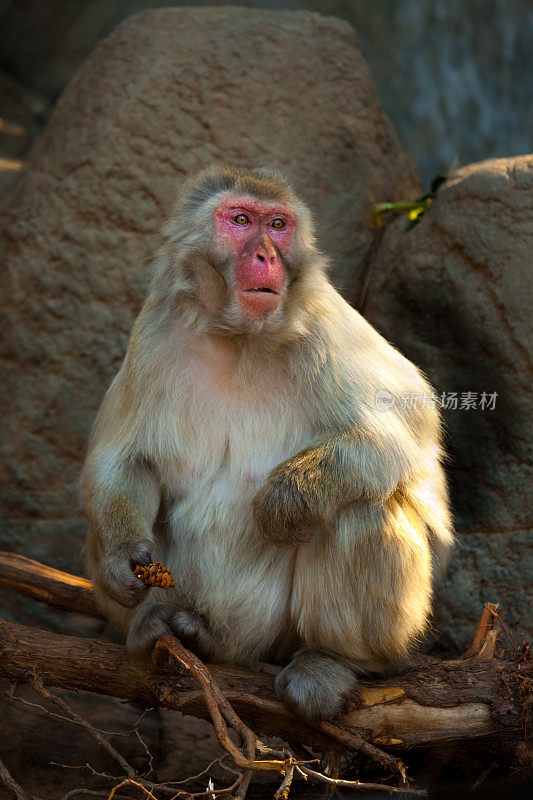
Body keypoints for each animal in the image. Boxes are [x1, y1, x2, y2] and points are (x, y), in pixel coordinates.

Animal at [81, 161, 450, 720]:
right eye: (240, 220)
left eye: (278, 225)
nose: (266, 255)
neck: (238, 337)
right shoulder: (155, 329)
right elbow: (123, 459)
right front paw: (123, 557)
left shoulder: (325, 326)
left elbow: (403, 436)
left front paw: (284, 501)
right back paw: (164, 630)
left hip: (276, 630)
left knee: (362, 506)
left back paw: (333, 660)